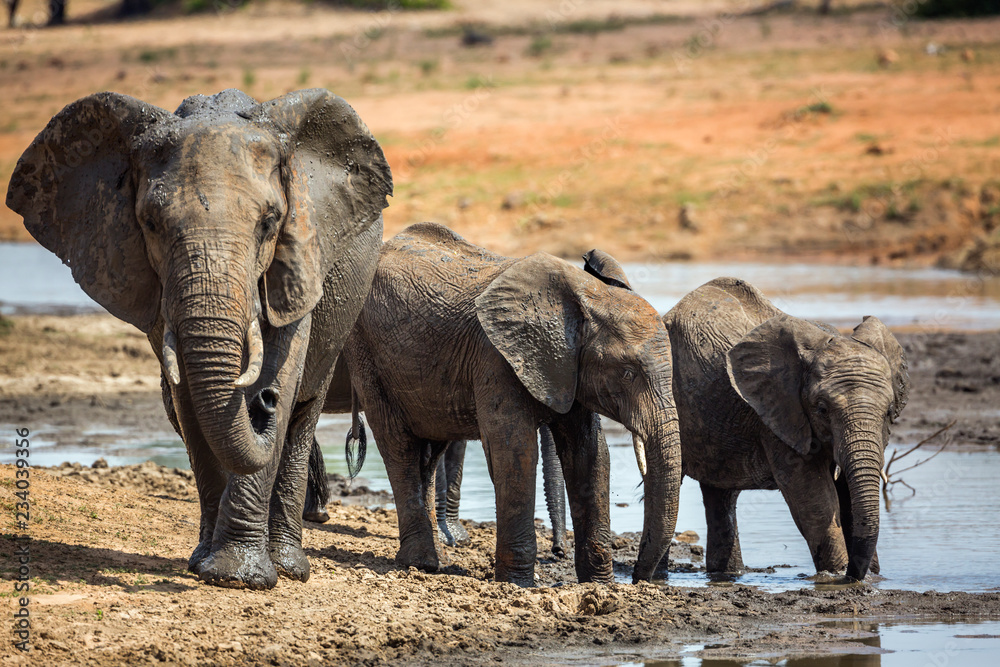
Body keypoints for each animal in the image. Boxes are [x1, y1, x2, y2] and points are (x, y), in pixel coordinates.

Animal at [6, 88, 392, 589]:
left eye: (270, 222)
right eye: (150, 223)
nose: (261, 400)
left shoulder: (300, 257)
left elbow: (284, 374)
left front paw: (242, 578)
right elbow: (187, 396)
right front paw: (213, 568)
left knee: (303, 412)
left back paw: (289, 565)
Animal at [313, 222, 680, 586]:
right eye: (628, 372)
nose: (638, 577)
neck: (585, 296)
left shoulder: (571, 370)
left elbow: (590, 454)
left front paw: (599, 584)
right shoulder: (495, 359)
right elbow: (514, 451)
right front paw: (518, 583)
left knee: (428, 454)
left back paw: (434, 561)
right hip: (365, 351)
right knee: (398, 446)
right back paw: (422, 562)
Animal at [664, 277, 909, 581]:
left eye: (889, 412)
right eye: (822, 409)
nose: (854, 573)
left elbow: (847, 494)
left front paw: (872, 579)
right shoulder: (778, 415)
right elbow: (814, 498)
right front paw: (836, 577)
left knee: (721, 494)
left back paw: (726, 576)